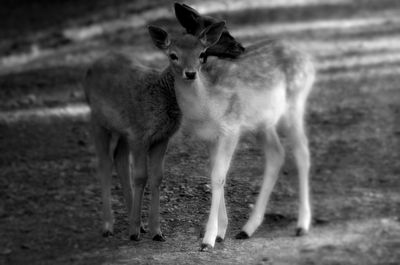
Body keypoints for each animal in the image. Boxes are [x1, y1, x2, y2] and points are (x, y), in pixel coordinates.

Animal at [83, 2, 244, 241]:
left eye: (201, 53)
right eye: (173, 55)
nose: (240, 48)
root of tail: (92, 66)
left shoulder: (161, 136)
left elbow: (157, 176)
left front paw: (155, 231)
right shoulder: (140, 133)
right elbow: (140, 176)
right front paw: (134, 233)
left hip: (122, 129)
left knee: (119, 160)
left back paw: (135, 221)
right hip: (98, 119)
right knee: (104, 164)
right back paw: (108, 225)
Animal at [148, 16, 316, 250]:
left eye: (201, 54)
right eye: (173, 55)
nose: (190, 73)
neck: (207, 107)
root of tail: (308, 59)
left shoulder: (231, 127)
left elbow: (218, 176)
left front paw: (208, 240)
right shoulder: (210, 137)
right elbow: (216, 175)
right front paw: (221, 232)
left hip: (294, 103)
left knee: (302, 153)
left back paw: (302, 225)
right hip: (262, 122)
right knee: (276, 154)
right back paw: (247, 229)